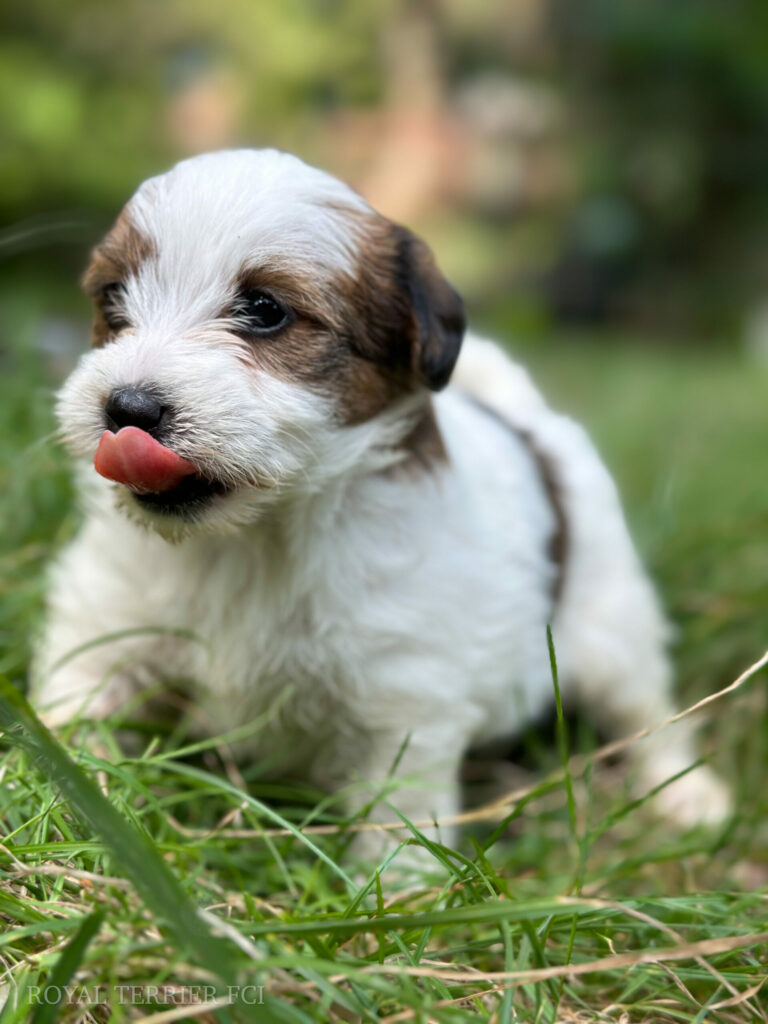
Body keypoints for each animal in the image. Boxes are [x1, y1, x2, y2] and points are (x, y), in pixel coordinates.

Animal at [34, 148, 733, 860]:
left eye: (264, 309)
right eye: (112, 297)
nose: (127, 407)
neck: (255, 534)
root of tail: (529, 421)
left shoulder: (401, 691)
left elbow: (400, 804)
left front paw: (398, 880)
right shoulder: (104, 624)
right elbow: (80, 705)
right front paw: (62, 803)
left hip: (612, 626)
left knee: (648, 709)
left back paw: (685, 792)